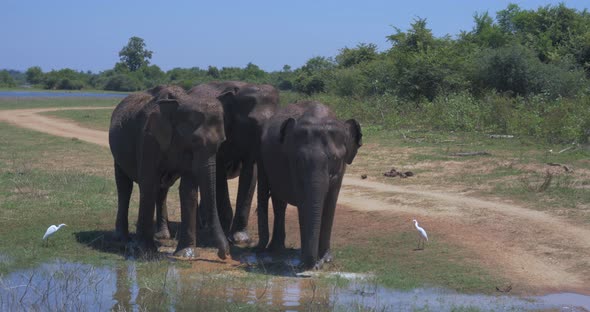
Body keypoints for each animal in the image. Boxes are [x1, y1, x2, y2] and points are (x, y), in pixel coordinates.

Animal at [109, 84, 234, 258]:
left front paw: (186, 254)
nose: (224, 254)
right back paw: (122, 239)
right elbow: (148, 184)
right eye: (194, 140)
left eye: (222, 141)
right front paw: (145, 250)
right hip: (118, 151)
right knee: (124, 187)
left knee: (162, 189)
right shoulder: (148, 139)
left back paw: (162, 235)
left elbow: (188, 190)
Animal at [256, 101, 364, 270]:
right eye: (300, 159)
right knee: (277, 200)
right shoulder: (293, 165)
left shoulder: (340, 170)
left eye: (334, 158)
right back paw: (276, 250)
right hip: (262, 156)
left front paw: (326, 259)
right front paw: (307, 261)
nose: (316, 265)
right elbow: (303, 202)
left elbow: (331, 202)